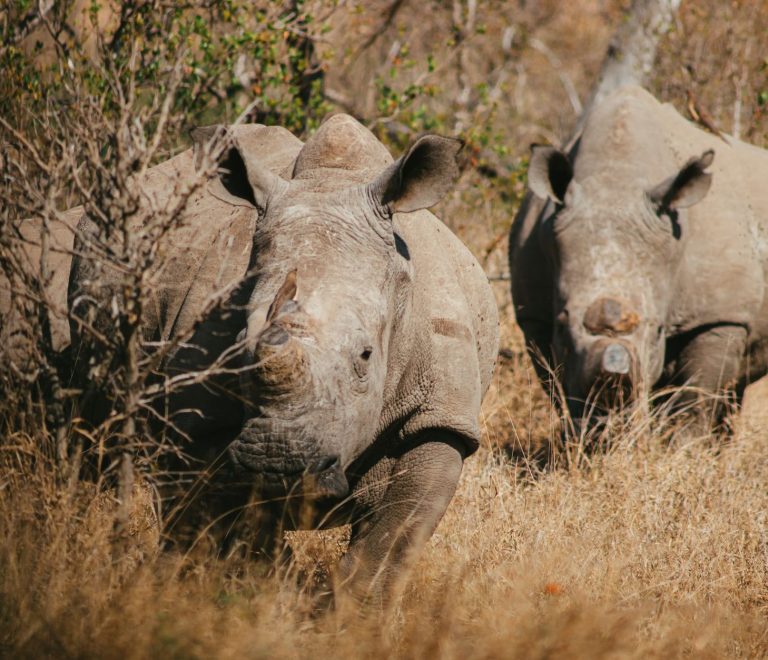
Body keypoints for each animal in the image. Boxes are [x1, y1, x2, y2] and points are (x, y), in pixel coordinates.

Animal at [68, 114, 498, 599]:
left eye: (366, 356)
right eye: (239, 348)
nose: (278, 464)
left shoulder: (439, 416)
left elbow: (390, 541)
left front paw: (350, 612)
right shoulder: (199, 418)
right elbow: (236, 527)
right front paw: (269, 597)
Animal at [510, 85, 768, 429]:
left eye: (658, 330)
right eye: (562, 325)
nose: (614, 409)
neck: (615, 179)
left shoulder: (722, 315)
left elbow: (694, 403)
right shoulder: (533, 314)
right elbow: (557, 389)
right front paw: (587, 436)